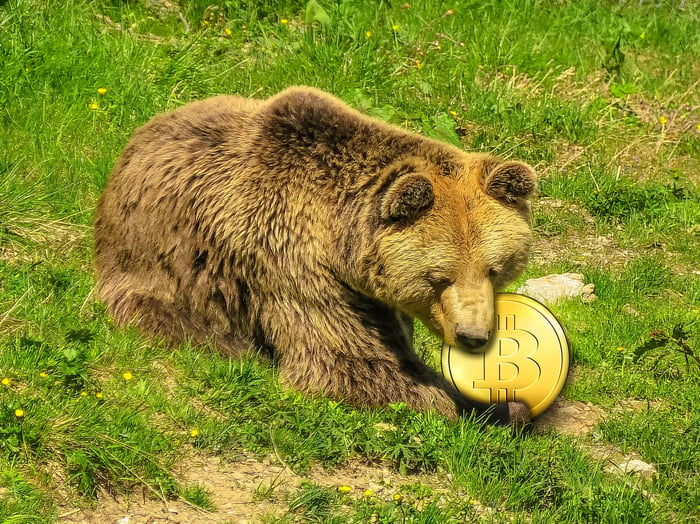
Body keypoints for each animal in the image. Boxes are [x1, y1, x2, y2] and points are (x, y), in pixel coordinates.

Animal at [94, 86, 536, 426]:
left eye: (494, 269)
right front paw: (478, 406)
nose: (473, 336)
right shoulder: (293, 264)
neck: (337, 236)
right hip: (152, 268)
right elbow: (348, 362)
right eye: (438, 276)